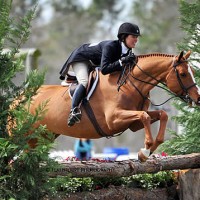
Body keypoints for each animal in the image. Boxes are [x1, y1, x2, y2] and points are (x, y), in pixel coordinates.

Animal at [27, 50, 199, 162]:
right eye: (183, 74)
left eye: (192, 71)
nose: (198, 98)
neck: (129, 84)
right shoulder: (113, 120)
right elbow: (144, 116)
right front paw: (145, 150)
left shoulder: (133, 124)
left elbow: (162, 114)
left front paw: (147, 152)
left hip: (43, 136)